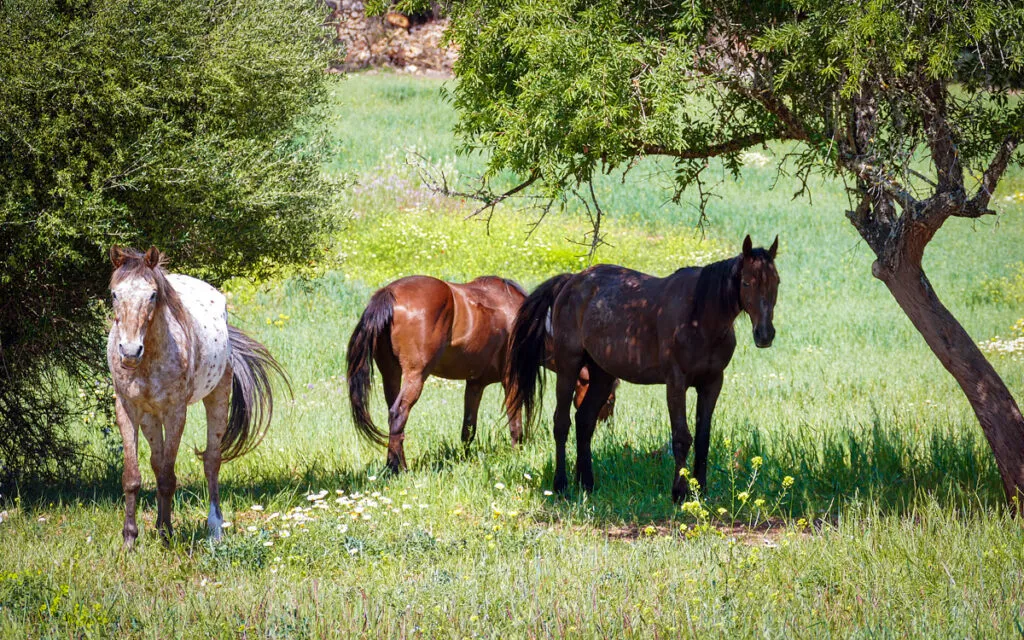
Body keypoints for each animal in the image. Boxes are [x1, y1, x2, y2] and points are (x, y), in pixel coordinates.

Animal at [108, 246, 289, 548]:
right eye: (114, 294)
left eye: (152, 295)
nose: (130, 352)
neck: (149, 358)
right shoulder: (128, 409)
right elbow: (132, 478)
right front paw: (129, 541)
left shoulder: (176, 412)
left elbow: (168, 478)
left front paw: (166, 535)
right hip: (150, 418)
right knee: (157, 462)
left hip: (217, 397)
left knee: (211, 461)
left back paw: (214, 529)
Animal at [346, 275, 615, 472]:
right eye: (609, 399)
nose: (607, 428)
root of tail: (389, 293)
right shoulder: (511, 380)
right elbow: (515, 423)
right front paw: (517, 454)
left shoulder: (475, 384)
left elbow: (468, 429)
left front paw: (465, 459)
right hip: (415, 376)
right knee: (398, 413)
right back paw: (397, 469)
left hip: (391, 375)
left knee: (394, 419)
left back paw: (395, 464)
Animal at [505, 235, 779, 501]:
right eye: (747, 283)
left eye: (776, 282)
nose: (765, 335)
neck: (699, 317)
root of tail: (571, 281)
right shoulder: (676, 383)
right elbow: (682, 437)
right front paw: (679, 493)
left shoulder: (712, 383)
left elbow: (703, 437)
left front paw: (701, 489)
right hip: (568, 367)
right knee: (561, 423)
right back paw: (561, 486)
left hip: (602, 375)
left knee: (584, 421)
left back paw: (587, 484)